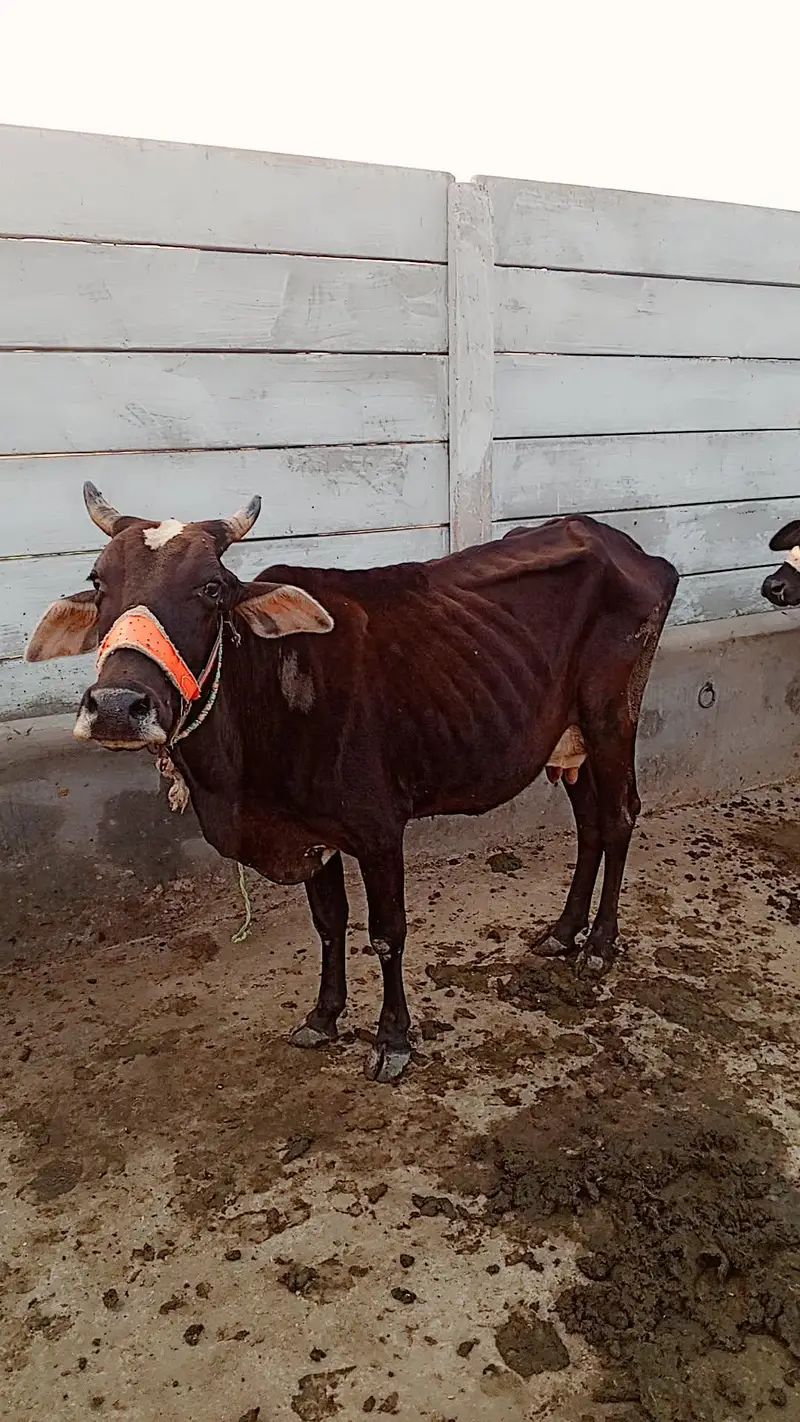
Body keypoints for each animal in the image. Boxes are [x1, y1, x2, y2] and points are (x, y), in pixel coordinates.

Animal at [25, 485, 679, 1082]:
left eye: (212, 587)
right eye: (98, 580)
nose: (117, 705)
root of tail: (627, 548)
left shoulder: (379, 831)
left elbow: (387, 933)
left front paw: (393, 1040)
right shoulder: (312, 834)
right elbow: (328, 922)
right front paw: (323, 1016)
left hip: (611, 717)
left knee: (619, 815)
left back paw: (599, 945)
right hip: (570, 740)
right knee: (589, 825)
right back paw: (564, 932)